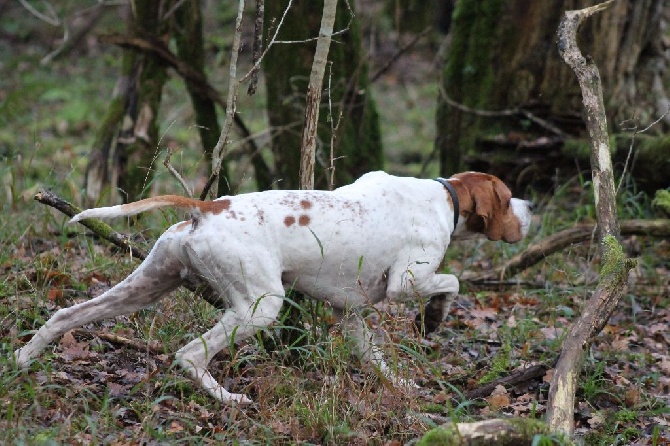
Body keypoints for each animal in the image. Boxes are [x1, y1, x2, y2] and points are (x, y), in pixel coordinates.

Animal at [13, 171, 532, 404]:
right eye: (508, 199)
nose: (532, 208)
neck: (445, 196)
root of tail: (207, 208)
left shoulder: (351, 314)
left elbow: (377, 360)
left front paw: (404, 387)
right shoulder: (406, 282)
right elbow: (451, 280)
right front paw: (435, 315)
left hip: (143, 287)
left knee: (65, 315)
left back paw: (22, 359)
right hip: (259, 306)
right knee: (189, 355)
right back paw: (227, 400)